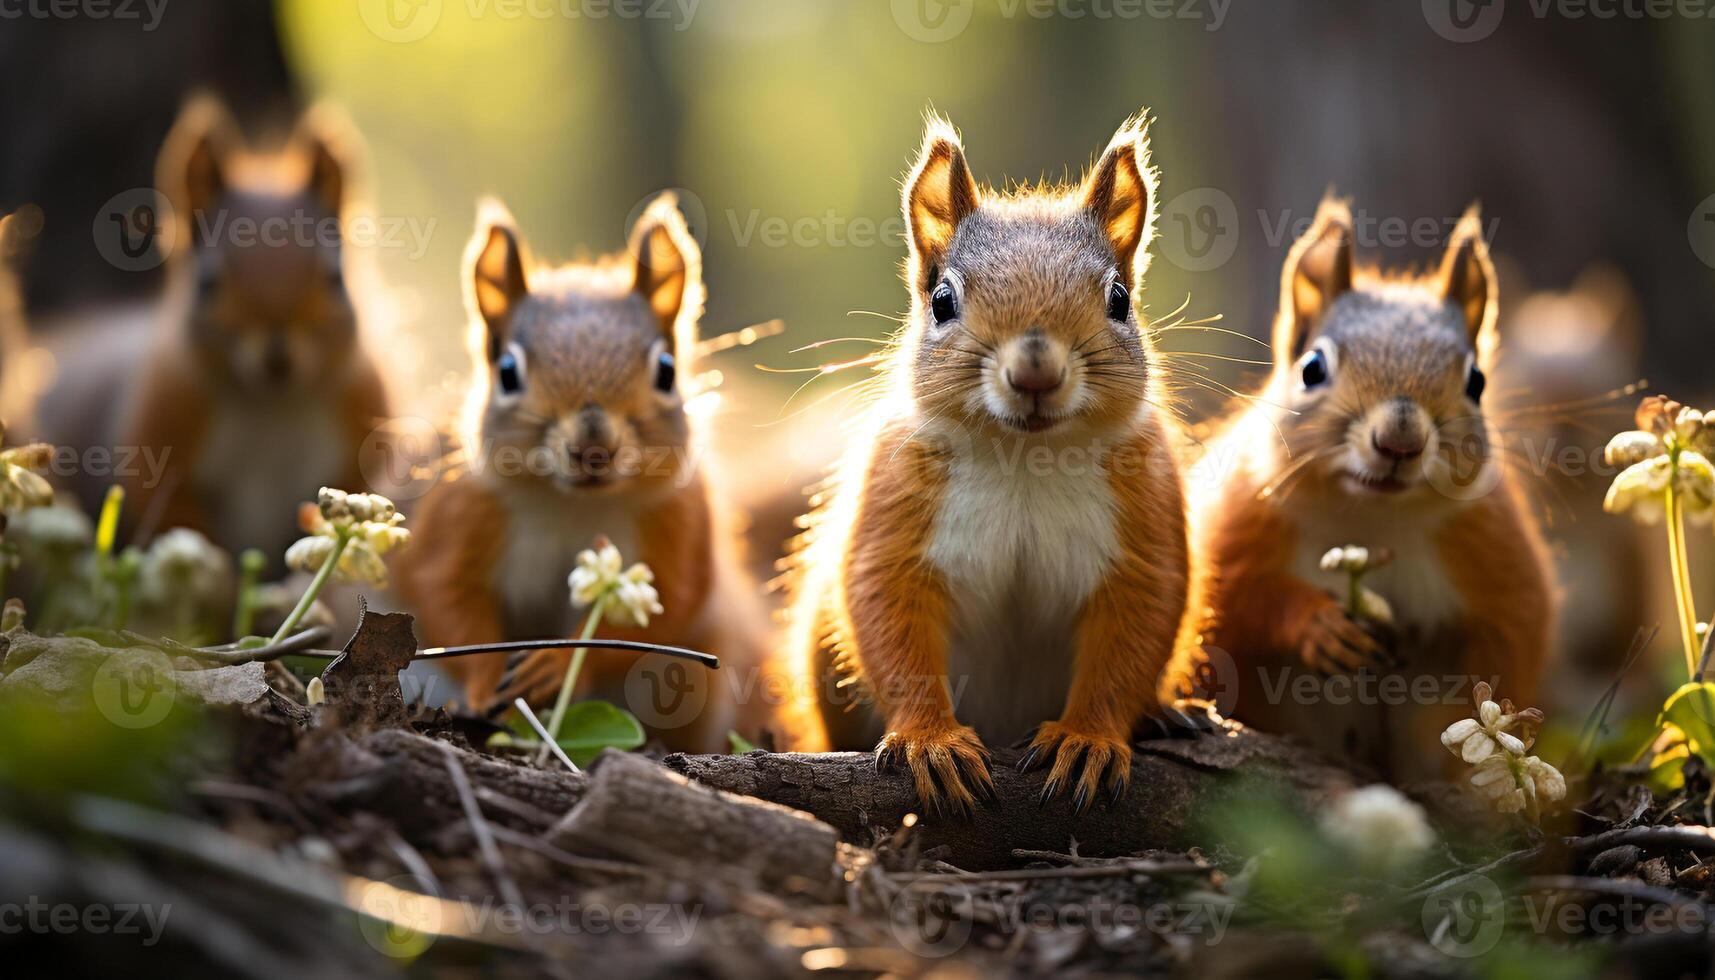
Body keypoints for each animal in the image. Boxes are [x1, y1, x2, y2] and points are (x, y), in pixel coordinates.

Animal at [394, 195, 771, 755]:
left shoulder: (677, 523)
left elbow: (665, 611)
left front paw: (557, 663)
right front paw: (488, 680)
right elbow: (444, 594)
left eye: (666, 369)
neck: (572, 503)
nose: (594, 449)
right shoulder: (462, 513)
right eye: (507, 371)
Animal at [778, 113, 1193, 813]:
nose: (1036, 372)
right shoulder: (895, 499)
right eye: (942, 300)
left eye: (1118, 299)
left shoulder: (1146, 511)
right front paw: (931, 741)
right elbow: (889, 617)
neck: (1024, 455)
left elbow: (1132, 636)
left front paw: (1087, 739)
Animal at [1186, 197, 1564, 782]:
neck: (1371, 515)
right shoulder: (1239, 522)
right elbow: (1233, 598)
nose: (1399, 441)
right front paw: (1319, 625)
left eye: (1477, 382)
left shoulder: (1492, 555)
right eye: (1311, 369)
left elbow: (1504, 647)